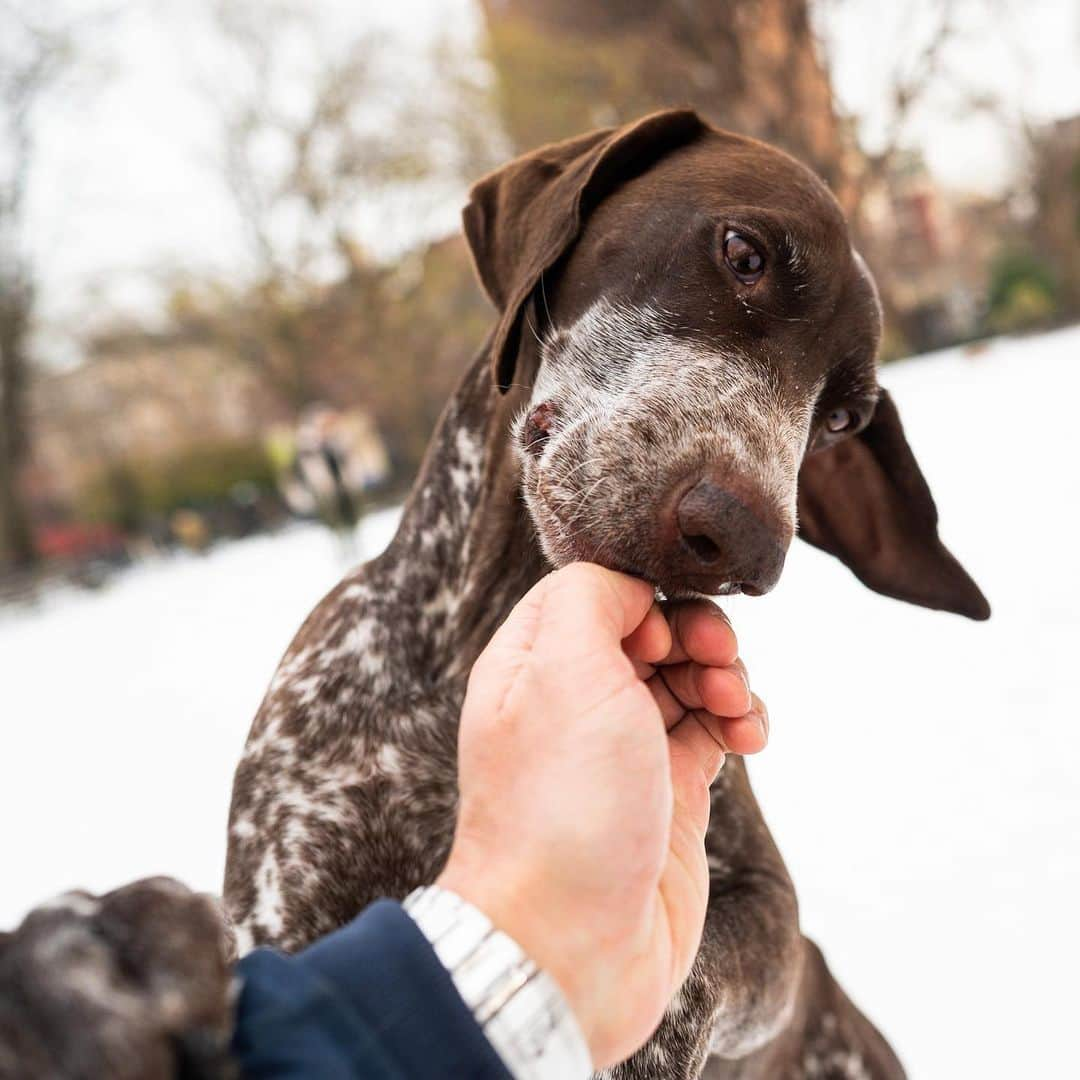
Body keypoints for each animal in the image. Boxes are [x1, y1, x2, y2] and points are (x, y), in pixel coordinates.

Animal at [223, 111, 989, 1080]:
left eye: (842, 420)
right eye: (743, 253)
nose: (746, 543)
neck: (475, 658)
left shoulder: (772, 914)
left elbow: (694, 969)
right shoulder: (284, 911)